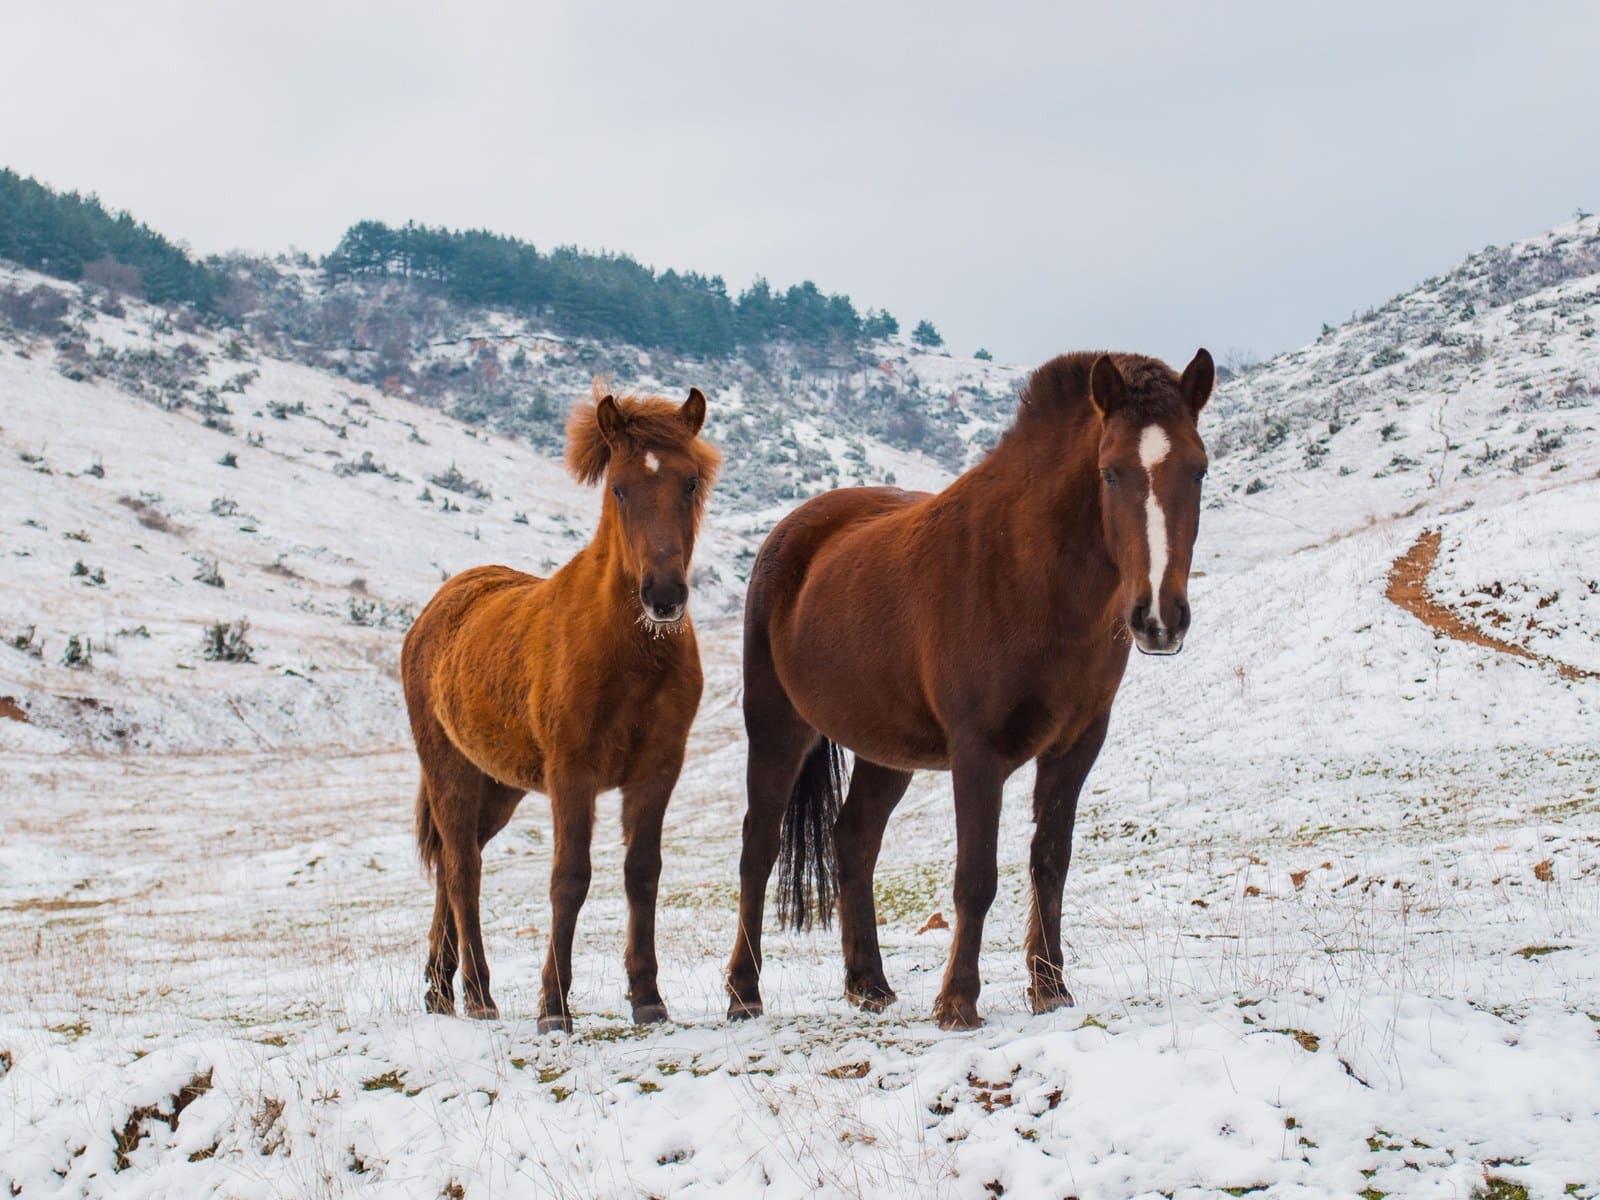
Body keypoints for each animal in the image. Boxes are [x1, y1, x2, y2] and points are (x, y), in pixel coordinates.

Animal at [402, 382, 720, 1031]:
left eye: (690, 483)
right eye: (619, 488)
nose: (664, 595)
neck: (626, 654)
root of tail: (435, 611)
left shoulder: (658, 770)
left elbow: (642, 873)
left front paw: (648, 997)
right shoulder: (573, 773)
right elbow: (570, 878)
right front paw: (553, 1007)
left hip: (498, 787)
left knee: (451, 864)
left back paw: (440, 990)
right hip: (451, 772)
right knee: (464, 872)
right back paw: (479, 994)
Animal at [725, 349, 1214, 1029]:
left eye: (1198, 470)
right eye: (1111, 473)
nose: (1159, 619)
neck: (1030, 573)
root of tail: (791, 533)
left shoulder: (1077, 745)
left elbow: (1050, 861)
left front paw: (1050, 987)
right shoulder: (978, 752)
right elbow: (976, 876)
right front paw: (958, 1001)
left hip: (886, 750)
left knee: (854, 841)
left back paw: (868, 984)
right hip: (777, 728)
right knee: (758, 848)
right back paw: (744, 992)